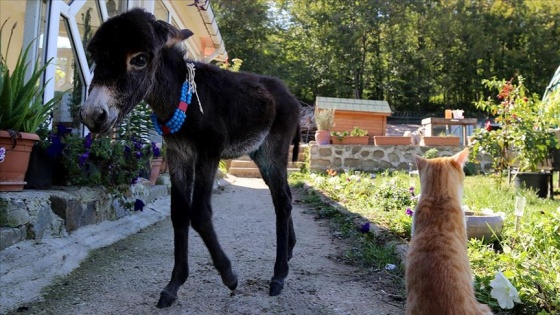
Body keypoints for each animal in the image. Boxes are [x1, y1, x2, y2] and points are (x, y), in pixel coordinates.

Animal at [79, 9, 302, 308]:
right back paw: (288, 253)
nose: (92, 115)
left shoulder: (209, 153)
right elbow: (179, 213)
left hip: (273, 150)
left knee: (283, 201)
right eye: (95, 56)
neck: (179, 97)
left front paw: (229, 275)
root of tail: (290, 95)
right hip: (260, 154)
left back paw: (278, 276)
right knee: (283, 198)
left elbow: (199, 213)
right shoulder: (178, 155)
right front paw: (174, 285)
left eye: (140, 59)